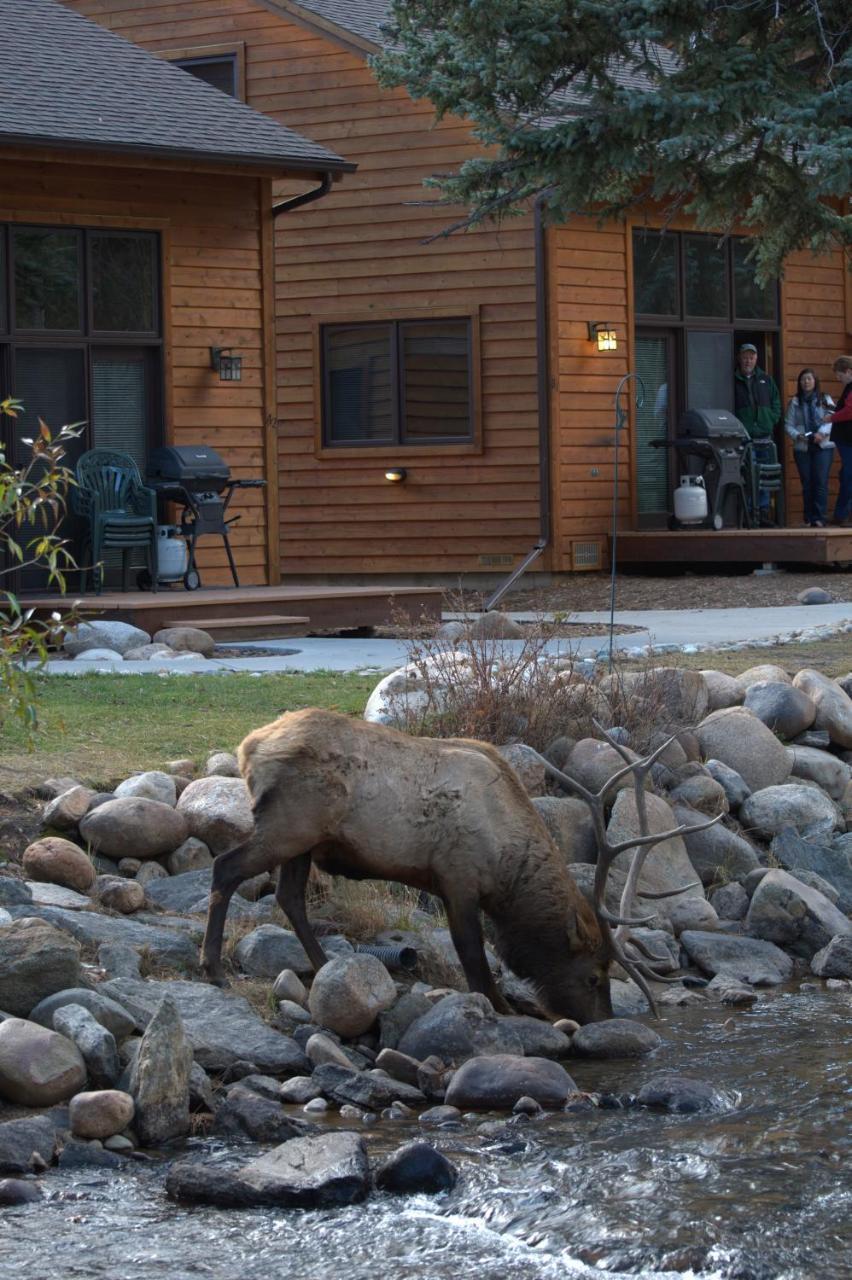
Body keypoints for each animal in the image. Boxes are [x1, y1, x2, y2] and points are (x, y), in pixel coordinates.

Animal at [199, 706, 711, 1024]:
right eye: (593, 976)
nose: (601, 1020)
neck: (508, 870)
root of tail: (247, 747)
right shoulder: (458, 877)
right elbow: (473, 955)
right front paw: (504, 1006)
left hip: (303, 841)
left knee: (289, 897)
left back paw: (326, 966)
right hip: (287, 826)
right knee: (225, 868)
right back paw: (214, 969)